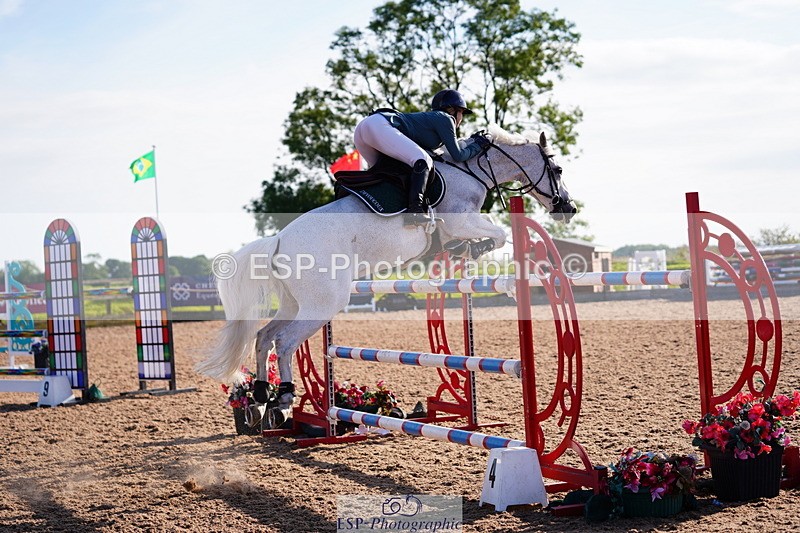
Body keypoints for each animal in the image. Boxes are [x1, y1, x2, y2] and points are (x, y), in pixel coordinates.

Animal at [196, 124, 577, 424]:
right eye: (557, 168)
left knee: (263, 337)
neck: (471, 170)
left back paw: (262, 396)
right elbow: (497, 235)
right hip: (323, 305)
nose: (569, 208)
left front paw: (461, 251)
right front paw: (473, 248)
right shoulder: (462, 220)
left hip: (294, 303)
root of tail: (278, 240)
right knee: (285, 342)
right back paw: (285, 399)